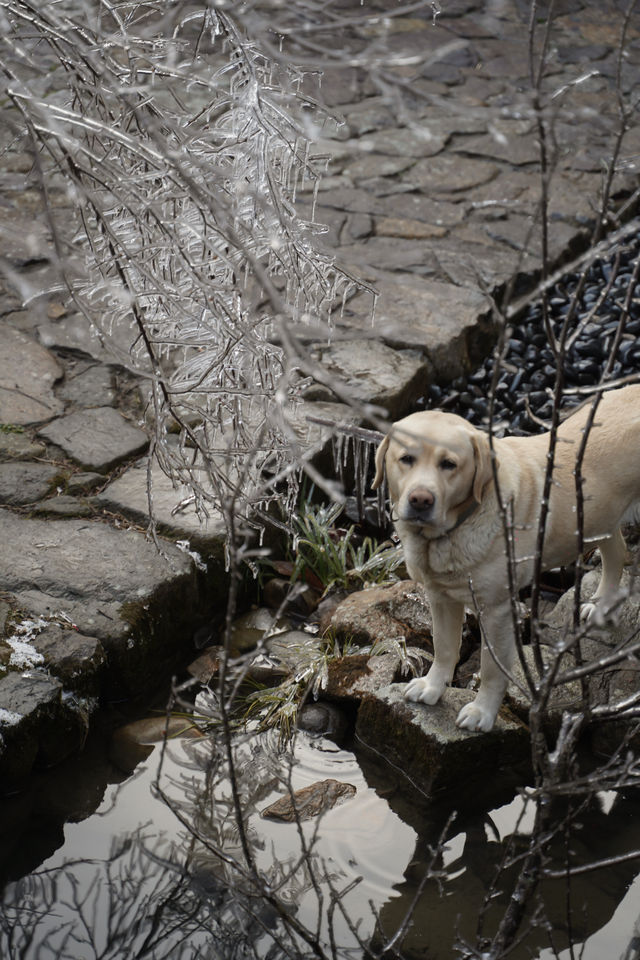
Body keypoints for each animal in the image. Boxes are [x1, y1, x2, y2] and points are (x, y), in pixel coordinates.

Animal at [372, 386, 640, 732]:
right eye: (406, 459)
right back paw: (602, 605)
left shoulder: (496, 611)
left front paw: (482, 712)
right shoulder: (440, 597)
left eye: (449, 464)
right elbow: (444, 647)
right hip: (597, 517)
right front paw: (432, 687)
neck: (454, 529)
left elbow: (490, 668)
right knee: (617, 551)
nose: (421, 500)